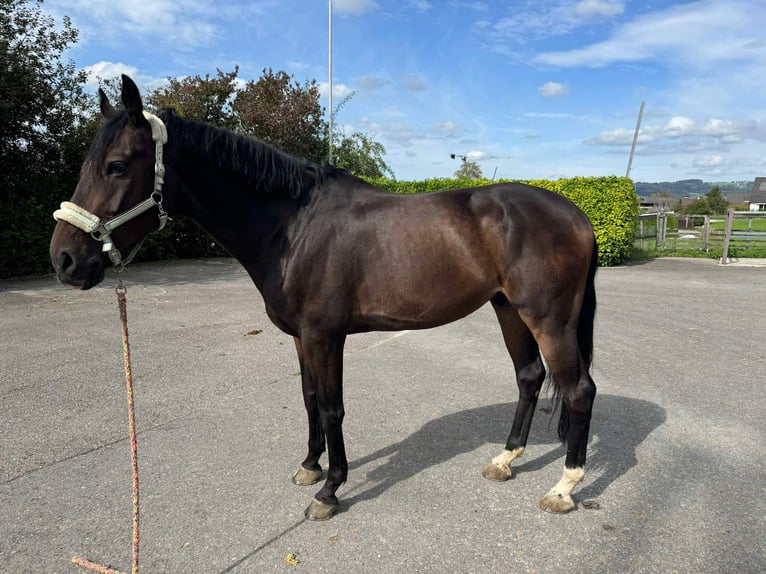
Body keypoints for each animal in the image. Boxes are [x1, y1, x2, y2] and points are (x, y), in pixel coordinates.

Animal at [49, 76, 600, 520]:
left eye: (117, 166)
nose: (65, 260)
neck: (292, 227)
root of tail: (575, 213)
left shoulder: (324, 336)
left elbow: (333, 407)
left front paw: (330, 491)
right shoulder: (301, 337)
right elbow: (310, 399)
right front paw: (310, 467)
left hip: (548, 319)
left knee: (579, 390)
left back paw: (564, 488)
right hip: (509, 310)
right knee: (529, 377)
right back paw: (505, 460)